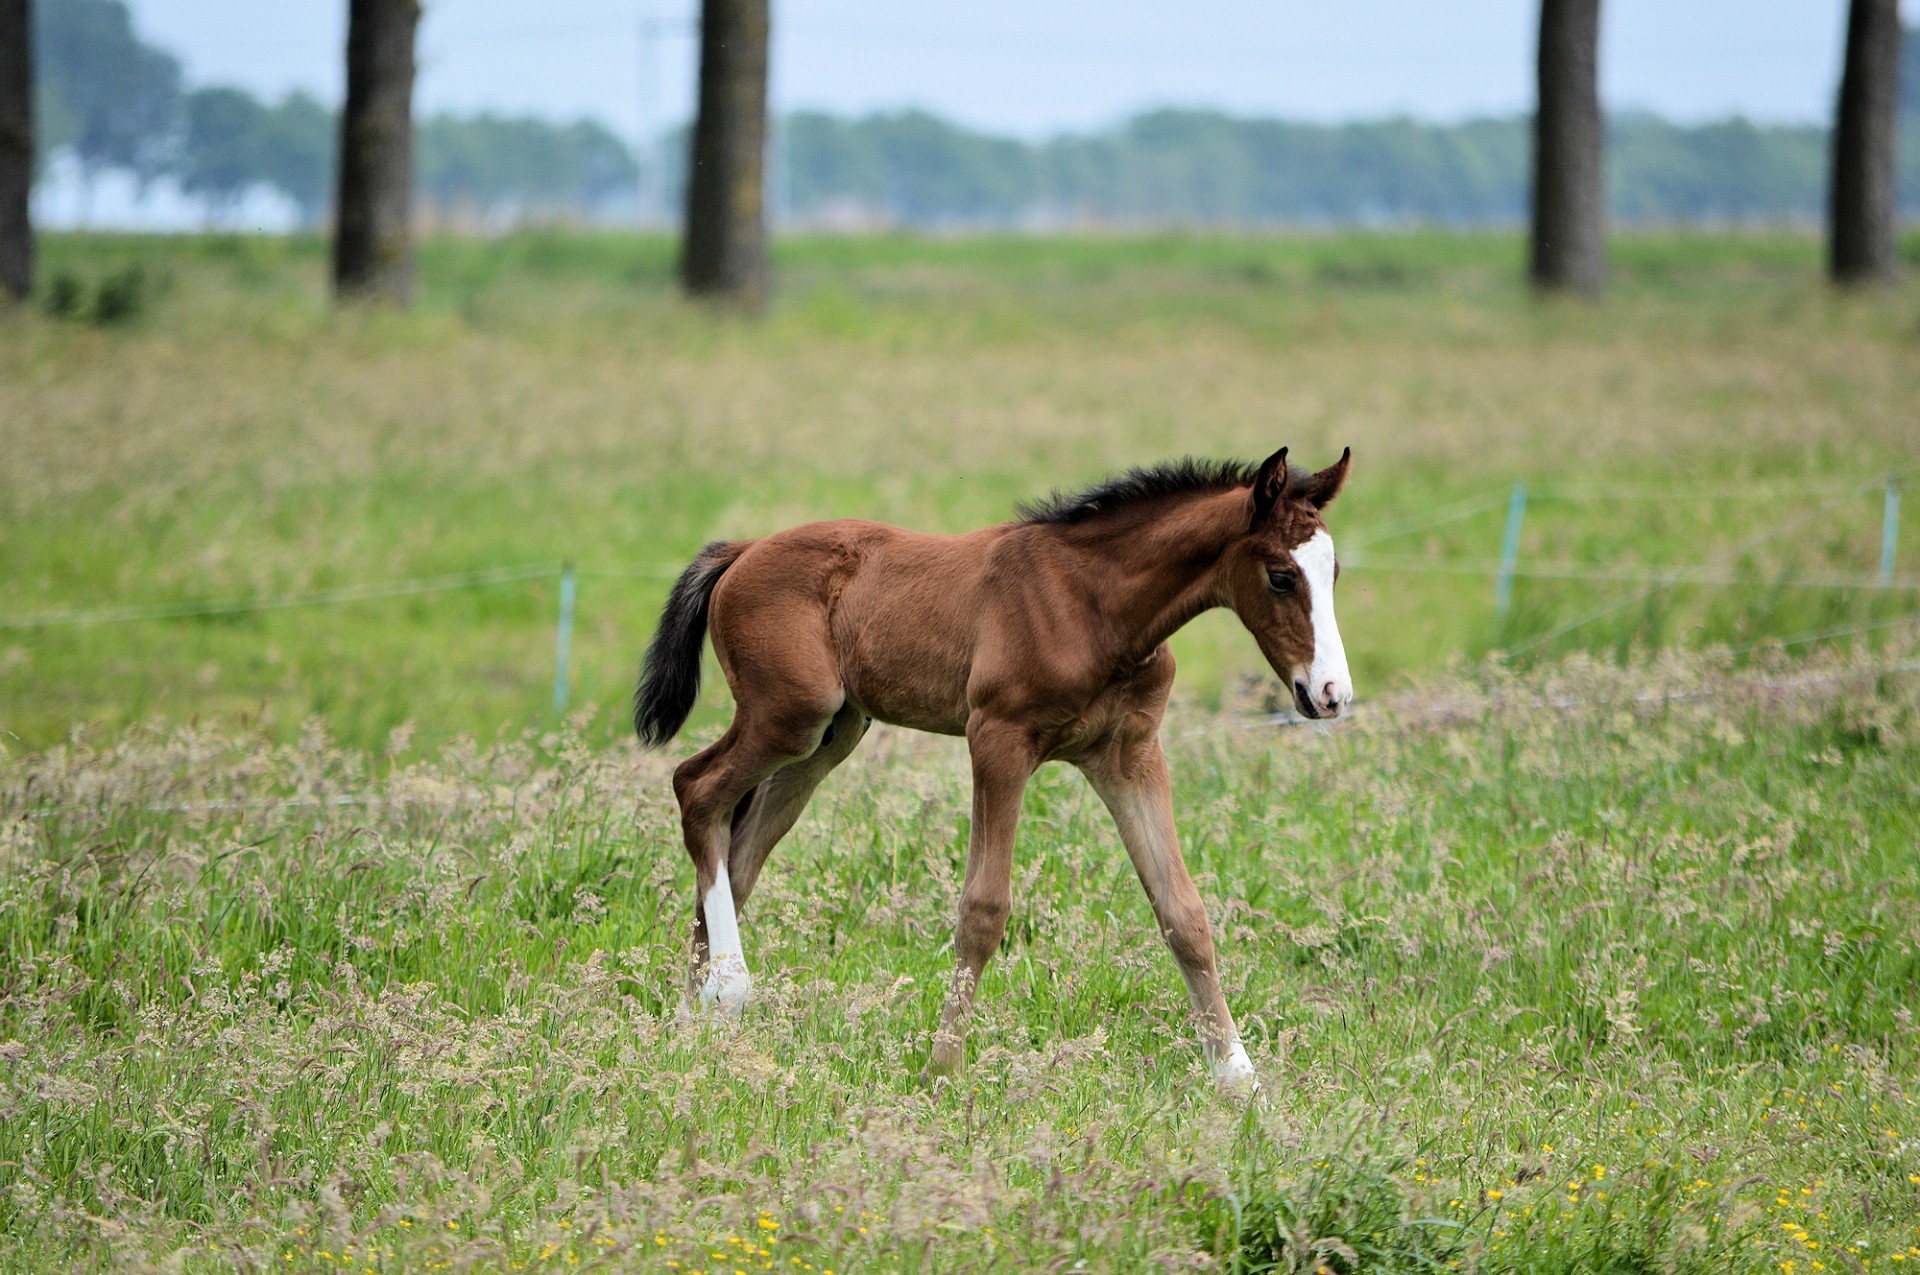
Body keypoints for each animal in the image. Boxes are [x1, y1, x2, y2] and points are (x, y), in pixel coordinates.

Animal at [629, 445, 1351, 1082]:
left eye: (1334, 572)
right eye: (1280, 575)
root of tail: (743, 549)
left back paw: (692, 1024)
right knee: (697, 788)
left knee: (740, 847)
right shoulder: (998, 739)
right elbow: (983, 908)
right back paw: (724, 993)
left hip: (831, 733)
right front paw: (943, 1070)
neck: (1095, 605)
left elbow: (1184, 912)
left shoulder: (1130, 753)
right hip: (791, 714)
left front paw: (1242, 1081)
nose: (1330, 695)